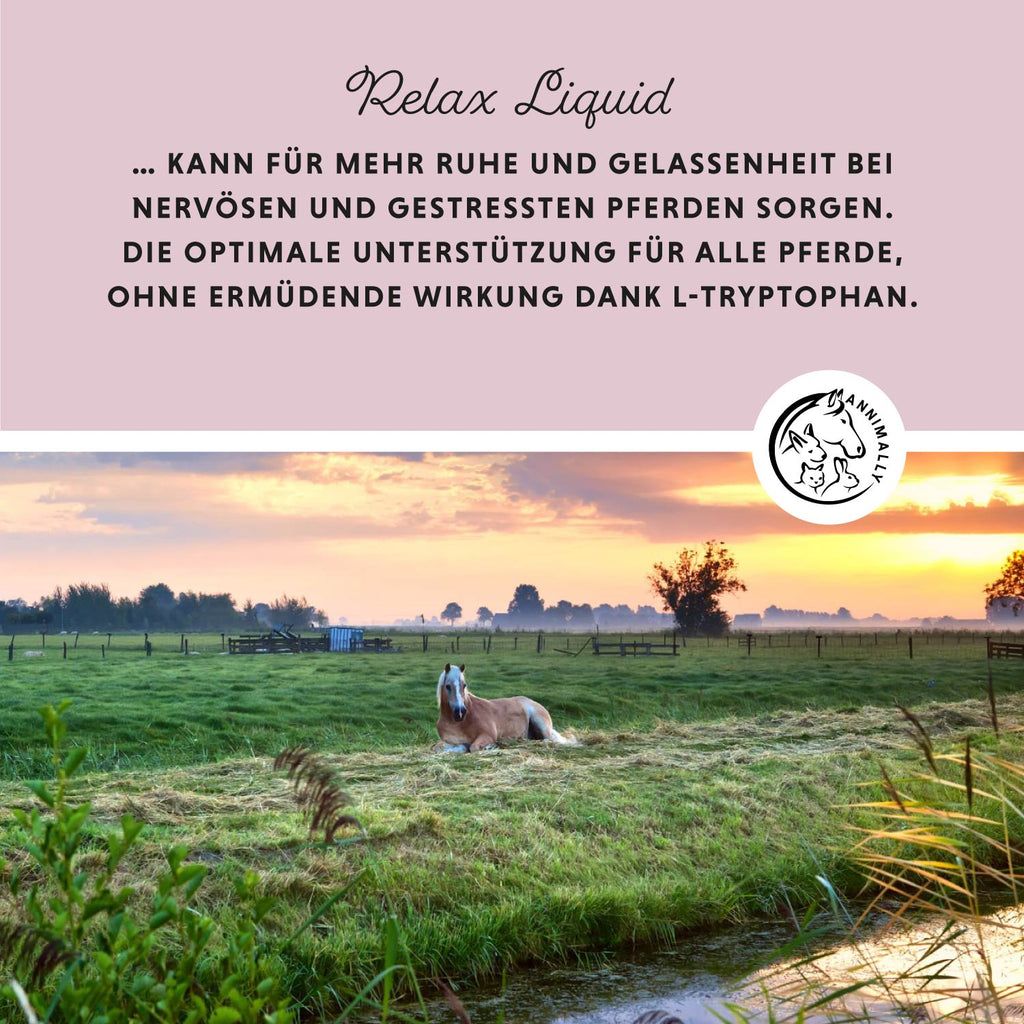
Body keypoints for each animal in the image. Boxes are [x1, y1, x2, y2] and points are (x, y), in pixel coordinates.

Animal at [435, 663, 574, 753]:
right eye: (448, 686)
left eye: (464, 685)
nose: (460, 712)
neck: (460, 723)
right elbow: (437, 748)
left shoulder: (488, 736)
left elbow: (473, 747)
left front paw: (491, 747)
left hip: (540, 724)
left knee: (548, 740)